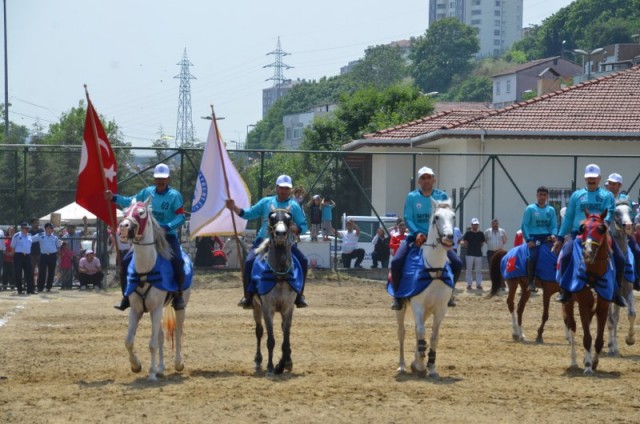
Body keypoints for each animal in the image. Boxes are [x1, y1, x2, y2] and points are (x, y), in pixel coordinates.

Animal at [119, 199, 191, 380]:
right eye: (125, 211)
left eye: (141, 213)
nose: (123, 227)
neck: (146, 270)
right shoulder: (136, 310)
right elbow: (128, 341)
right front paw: (136, 366)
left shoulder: (156, 308)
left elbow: (152, 344)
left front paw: (151, 373)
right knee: (161, 335)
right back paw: (160, 368)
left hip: (181, 305)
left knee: (178, 331)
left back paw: (178, 363)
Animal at [396, 199, 456, 378]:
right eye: (436, 217)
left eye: (453, 216)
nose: (449, 236)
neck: (433, 270)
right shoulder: (417, 305)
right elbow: (421, 333)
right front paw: (421, 365)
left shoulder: (440, 309)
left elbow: (433, 336)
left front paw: (431, 367)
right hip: (401, 308)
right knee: (402, 333)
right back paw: (402, 365)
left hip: (427, 311)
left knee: (417, 330)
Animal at [564, 210, 612, 374]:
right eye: (582, 228)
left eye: (601, 229)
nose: (588, 252)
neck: (593, 274)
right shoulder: (583, 305)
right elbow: (587, 337)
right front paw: (588, 366)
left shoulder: (603, 306)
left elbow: (598, 339)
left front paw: (594, 362)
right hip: (568, 302)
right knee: (571, 325)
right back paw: (574, 362)